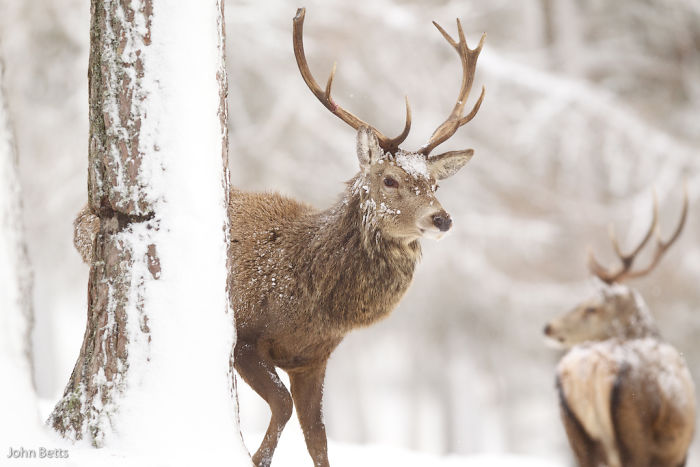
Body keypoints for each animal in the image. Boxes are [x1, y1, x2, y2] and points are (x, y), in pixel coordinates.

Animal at [73, 8, 486, 467]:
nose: (442, 219)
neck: (312, 298)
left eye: (435, 183)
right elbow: (284, 406)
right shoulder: (243, 335)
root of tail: (84, 213)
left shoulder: (314, 359)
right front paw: (254, 457)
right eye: (390, 179)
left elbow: (319, 437)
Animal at [543, 188, 695, 467]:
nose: (547, 327)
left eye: (591, 308)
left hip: (577, 437)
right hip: (636, 431)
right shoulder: (679, 453)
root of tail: (588, 371)